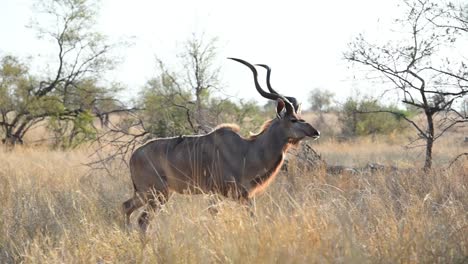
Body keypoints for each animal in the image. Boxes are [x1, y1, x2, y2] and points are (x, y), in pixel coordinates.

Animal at [122, 57, 320, 231]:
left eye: (300, 116)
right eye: (294, 119)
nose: (315, 132)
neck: (247, 151)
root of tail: (134, 156)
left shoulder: (242, 196)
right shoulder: (219, 194)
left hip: (150, 194)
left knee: (127, 207)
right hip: (156, 194)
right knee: (141, 219)